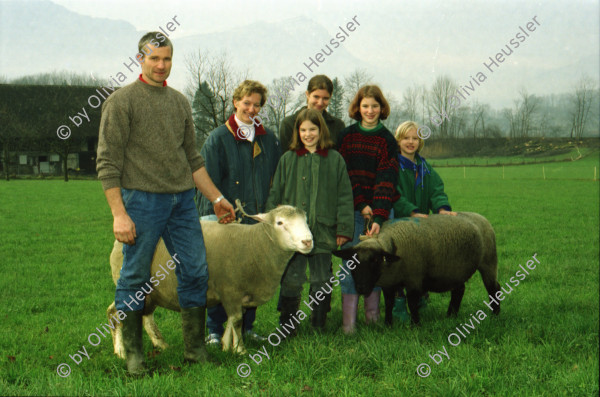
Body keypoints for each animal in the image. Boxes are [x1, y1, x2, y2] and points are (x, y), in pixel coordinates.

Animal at [108, 204, 314, 352]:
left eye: (306, 220)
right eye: (280, 223)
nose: (308, 242)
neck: (255, 244)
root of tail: (119, 242)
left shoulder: (237, 294)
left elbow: (232, 319)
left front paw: (226, 345)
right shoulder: (230, 288)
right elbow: (237, 319)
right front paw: (240, 350)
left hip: (152, 292)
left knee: (145, 316)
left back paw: (161, 345)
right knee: (115, 314)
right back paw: (120, 351)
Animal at [336, 212, 500, 324]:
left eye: (375, 260)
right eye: (351, 262)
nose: (361, 288)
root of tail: (480, 217)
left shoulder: (414, 278)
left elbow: (412, 302)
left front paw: (415, 325)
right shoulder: (389, 282)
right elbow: (389, 303)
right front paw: (388, 324)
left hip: (488, 261)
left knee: (493, 287)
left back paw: (495, 314)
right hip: (456, 270)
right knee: (459, 290)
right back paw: (450, 316)